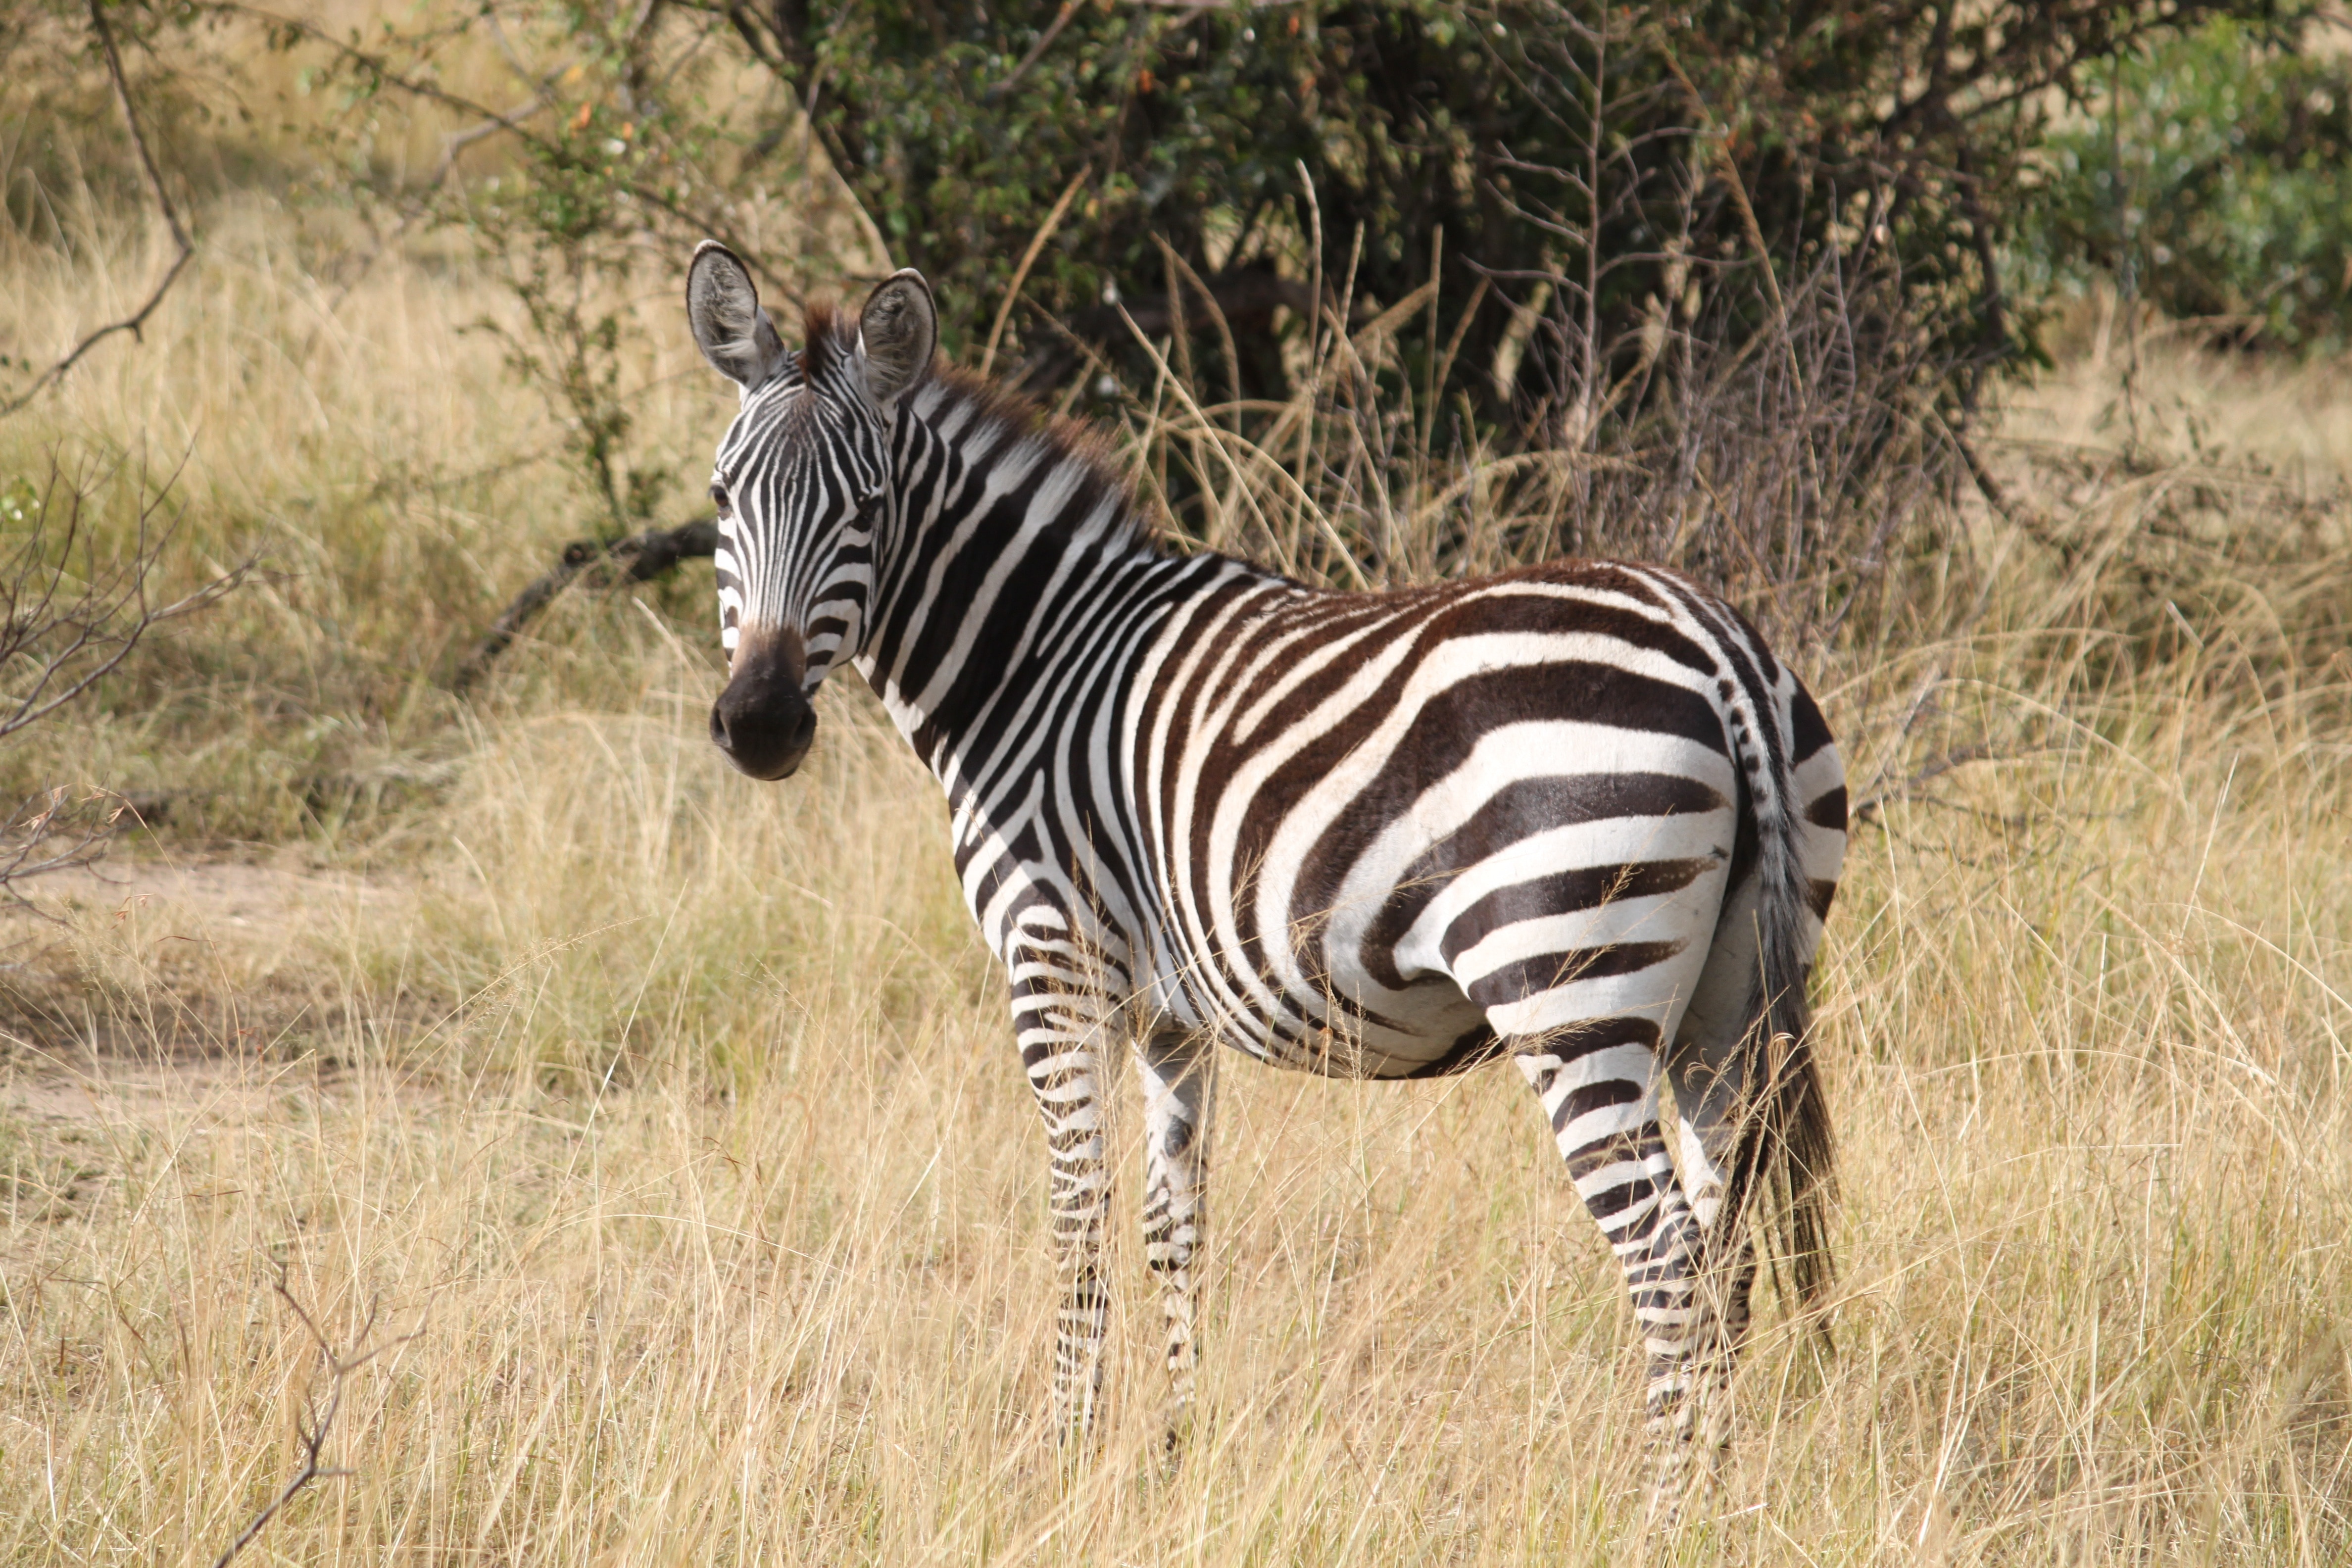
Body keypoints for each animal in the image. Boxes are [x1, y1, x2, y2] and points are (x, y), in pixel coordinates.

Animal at [686, 242, 1844, 1504]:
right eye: (721, 499)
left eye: (866, 507)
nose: (759, 726)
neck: (1032, 663)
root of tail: (1714, 645)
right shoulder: (1167, 1013)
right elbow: (1171, 1223)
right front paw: (1175, 1449)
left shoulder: (1054, 963)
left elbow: (1077, 1212)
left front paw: (1066, 1454)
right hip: (1724, 1005)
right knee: (1725, 1250)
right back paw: (1720, 1499)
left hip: (1569, 989)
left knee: (1669, 1265)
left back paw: (1656, 1514)